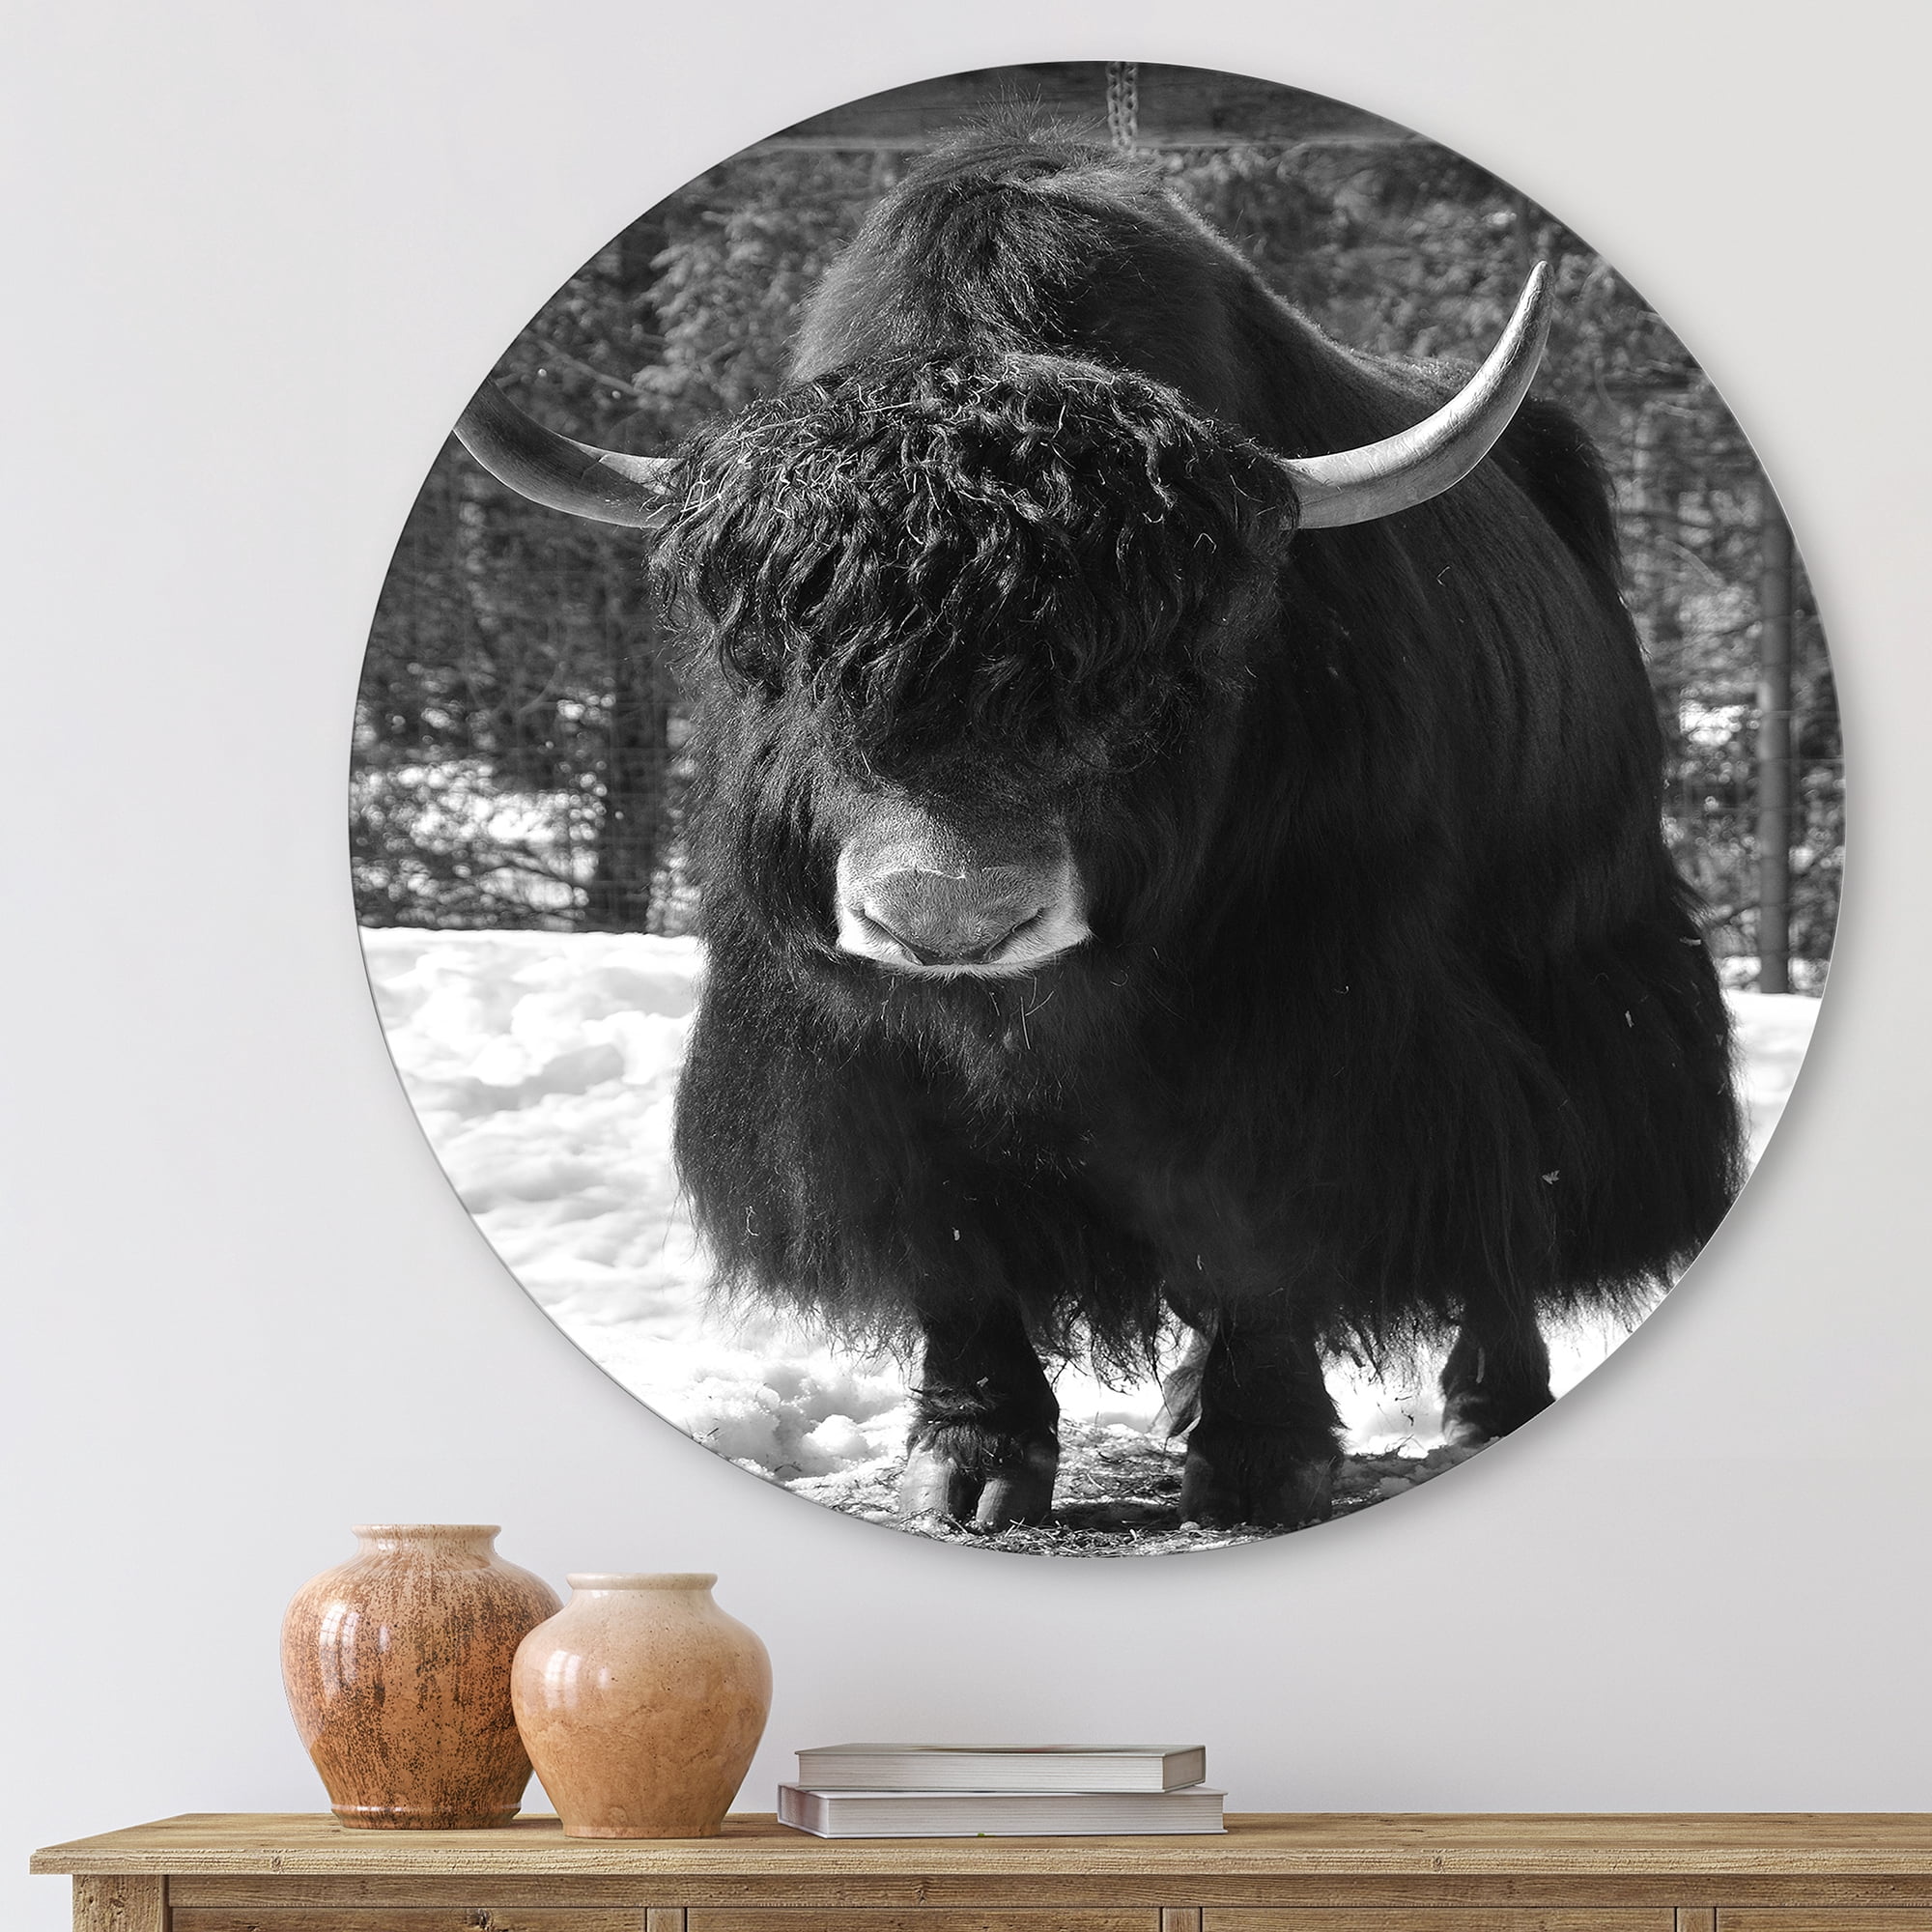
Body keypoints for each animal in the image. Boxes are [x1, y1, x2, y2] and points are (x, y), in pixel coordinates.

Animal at [454, 126, 1746, 1534]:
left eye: (1152, 672)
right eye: (782, 659)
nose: (948, 919)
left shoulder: (1309, 1013)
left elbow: (1263, 1212)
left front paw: (1259, 1459)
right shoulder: (850, 1050)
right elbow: (945, 1232)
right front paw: (970, 1460)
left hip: (1574, 956)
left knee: (1525, 1176)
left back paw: (1486, 1397)